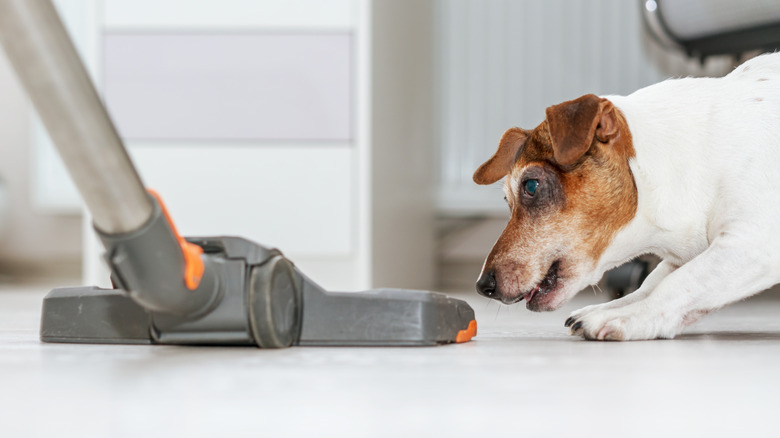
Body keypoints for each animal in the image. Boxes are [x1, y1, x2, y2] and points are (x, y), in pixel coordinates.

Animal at [472, 53, 780, 342]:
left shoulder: (751, 244)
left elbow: (678, 283)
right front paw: (609, 308)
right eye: (506, 201)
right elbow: (652, 283)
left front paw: (627, 317)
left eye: (531, 186)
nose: (483, 286)